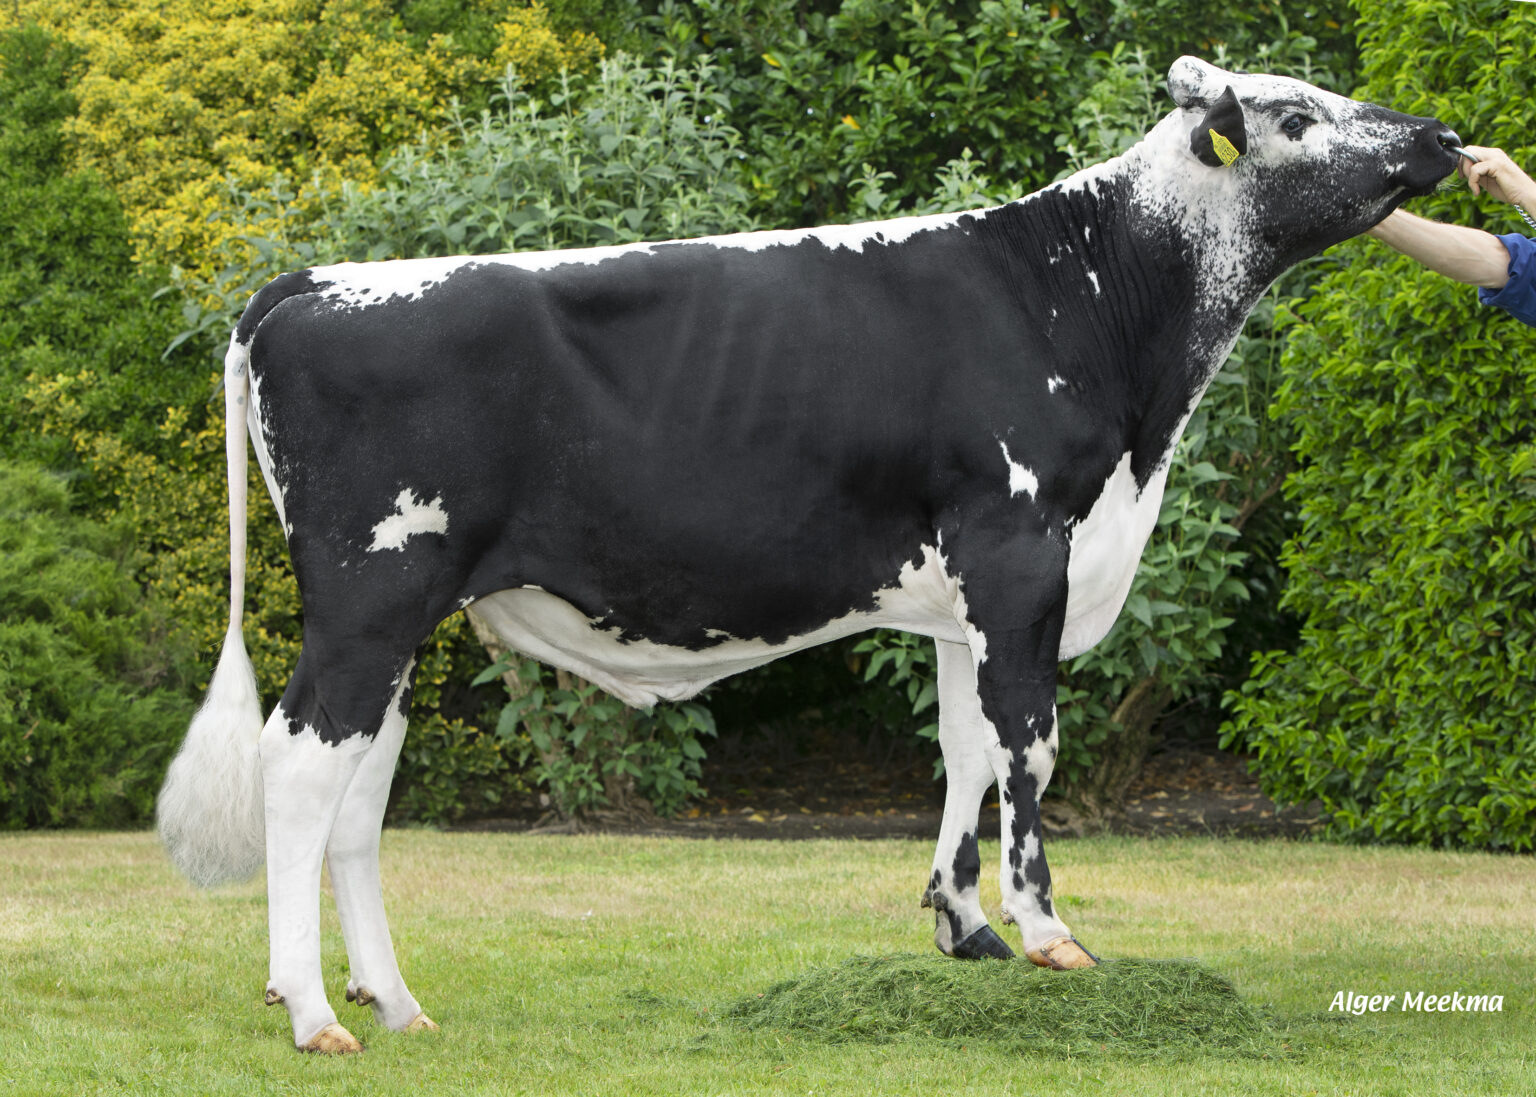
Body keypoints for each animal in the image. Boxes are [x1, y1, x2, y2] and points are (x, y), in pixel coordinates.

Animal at [157, 56, 1459, 1053]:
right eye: (1296, 116)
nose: (1442, 135)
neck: (1090, 305)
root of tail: (308, 283)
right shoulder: (1021, 554)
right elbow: (1029, 746)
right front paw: (1049, 935)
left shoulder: (966, 593)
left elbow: (963, 747)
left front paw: (961, 926)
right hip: (367, 595)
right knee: (301, 767)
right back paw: (314, 1010)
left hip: (404, 616)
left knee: (361, 787)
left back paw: (395, 1001)